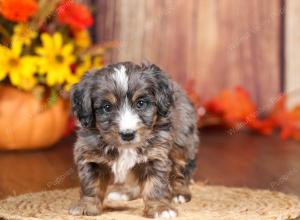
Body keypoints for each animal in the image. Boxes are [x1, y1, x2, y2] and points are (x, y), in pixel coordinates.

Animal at [68, 62, 199, 218]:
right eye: (107, 107)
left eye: (141, 103)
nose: (127, 134)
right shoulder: (91, 157)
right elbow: (91, 185)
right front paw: (86, 206)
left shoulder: (156, 156)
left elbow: (155, 185)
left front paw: (161, 208)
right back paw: (126, 193)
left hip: (182, 143)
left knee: (181, 169)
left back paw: (179, 193)